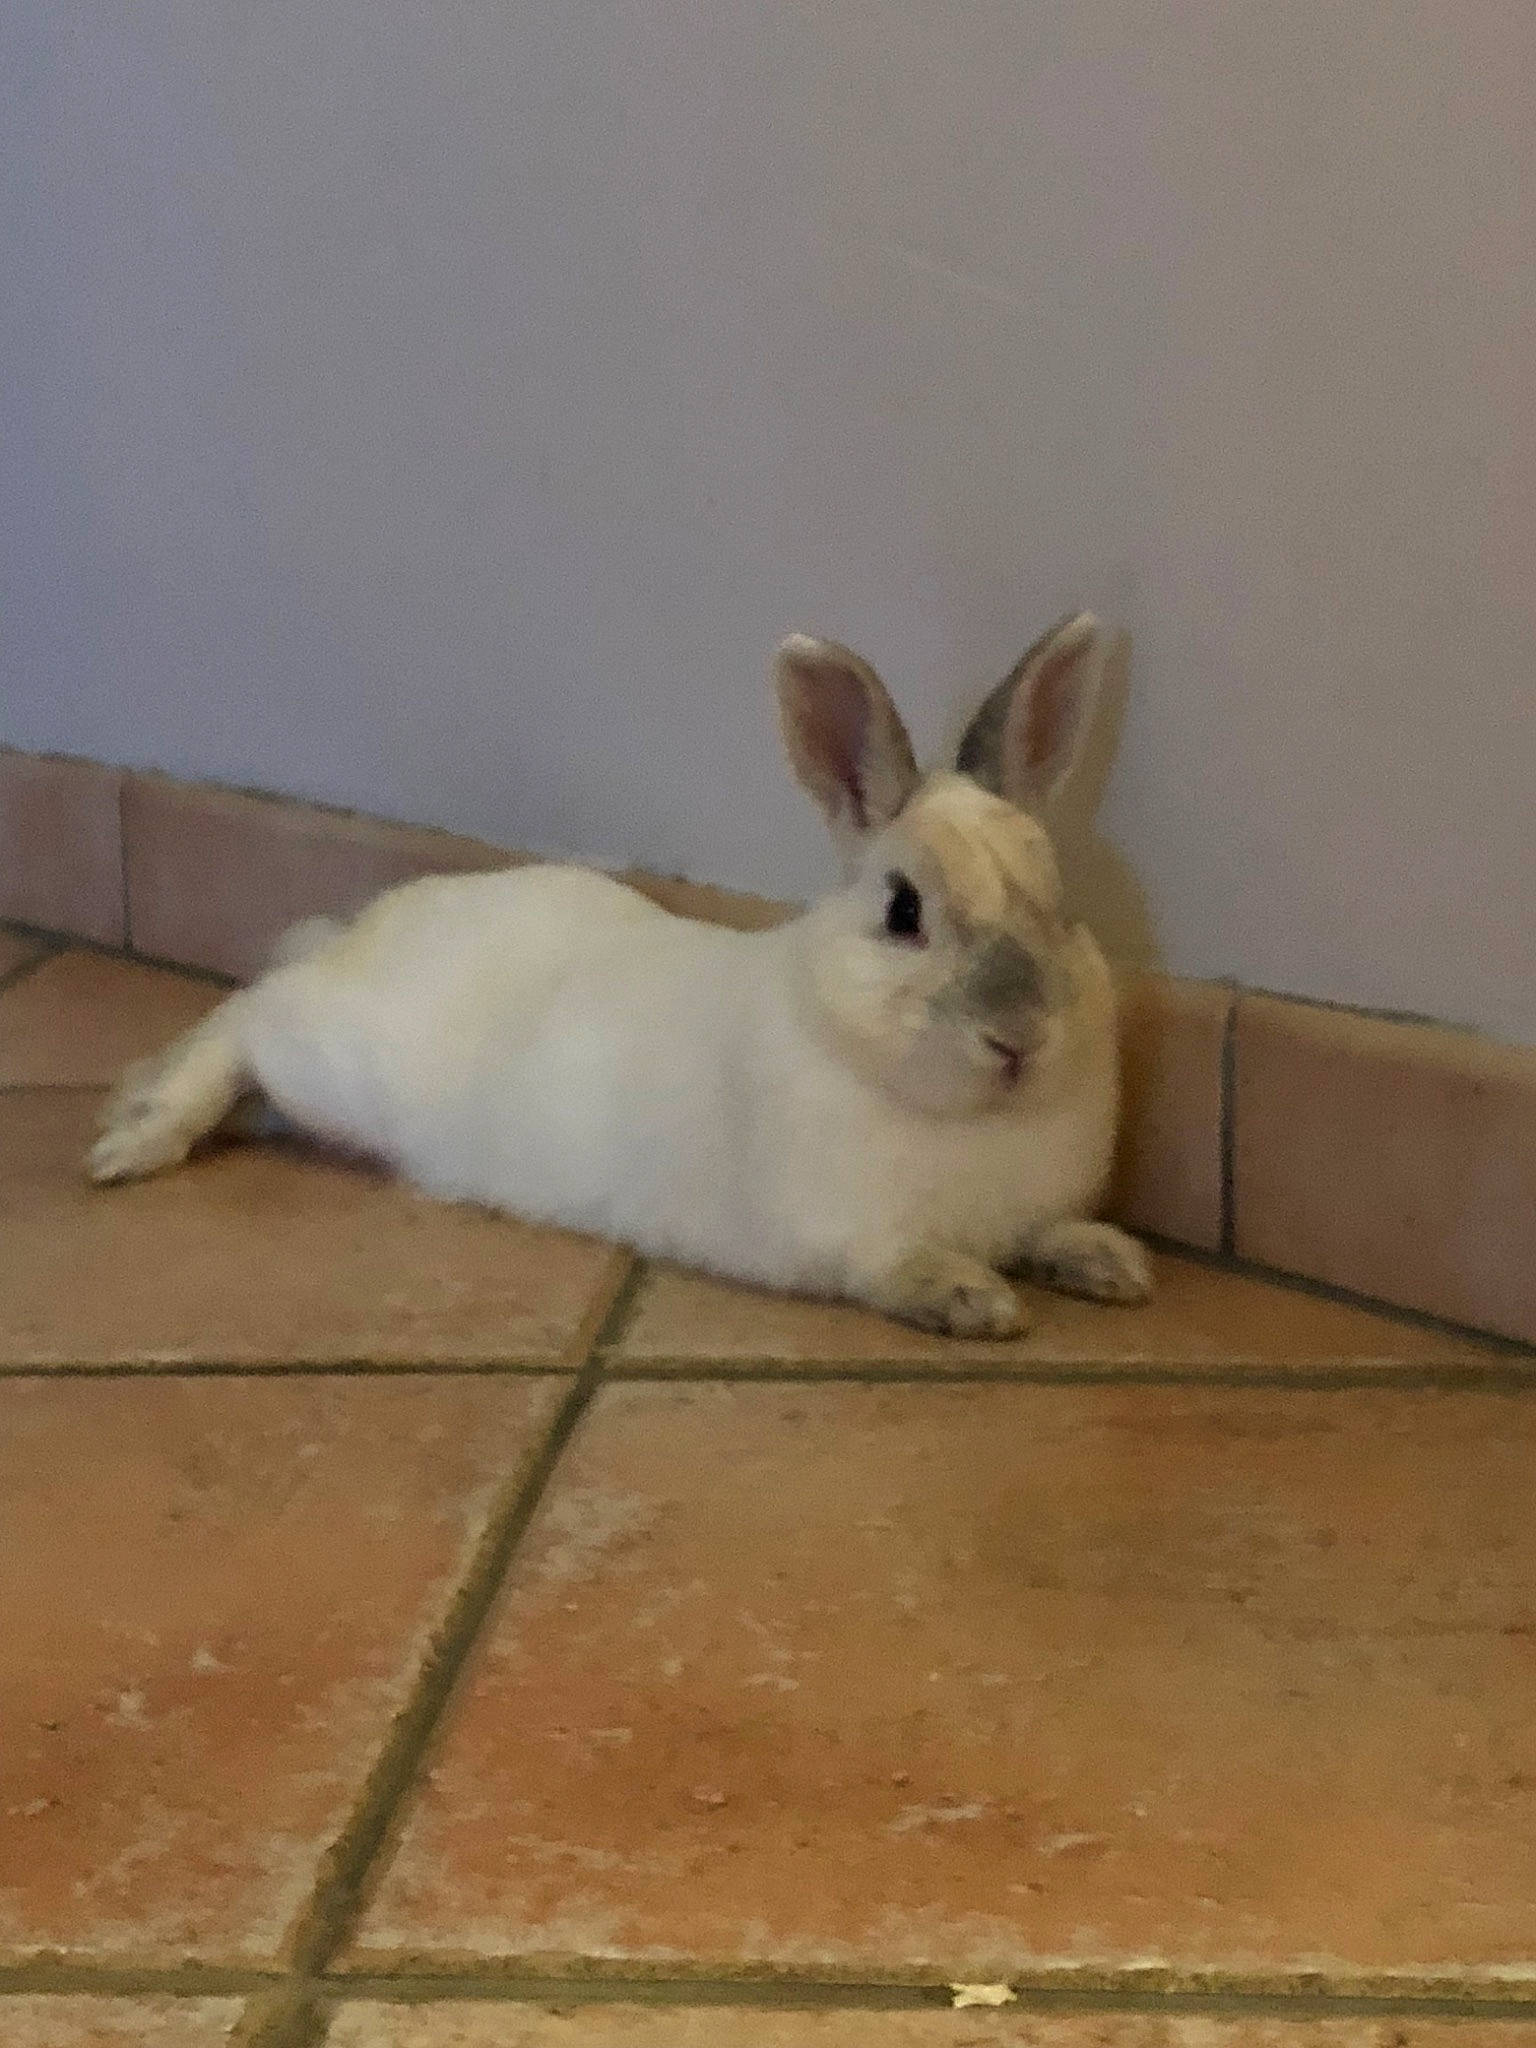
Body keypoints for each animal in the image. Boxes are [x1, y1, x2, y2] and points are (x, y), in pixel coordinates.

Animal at [87, 612, 1150, 1337]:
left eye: (1062, 902)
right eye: (904, 913)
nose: (1021, 1036)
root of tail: (362, 932)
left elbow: (1049, 1232)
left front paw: (1112, 1264)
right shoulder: (844, 1233)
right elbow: (898, 1266)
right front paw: (977, 1300)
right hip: (337, 1062)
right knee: (246, 1017)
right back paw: (132, 1140)